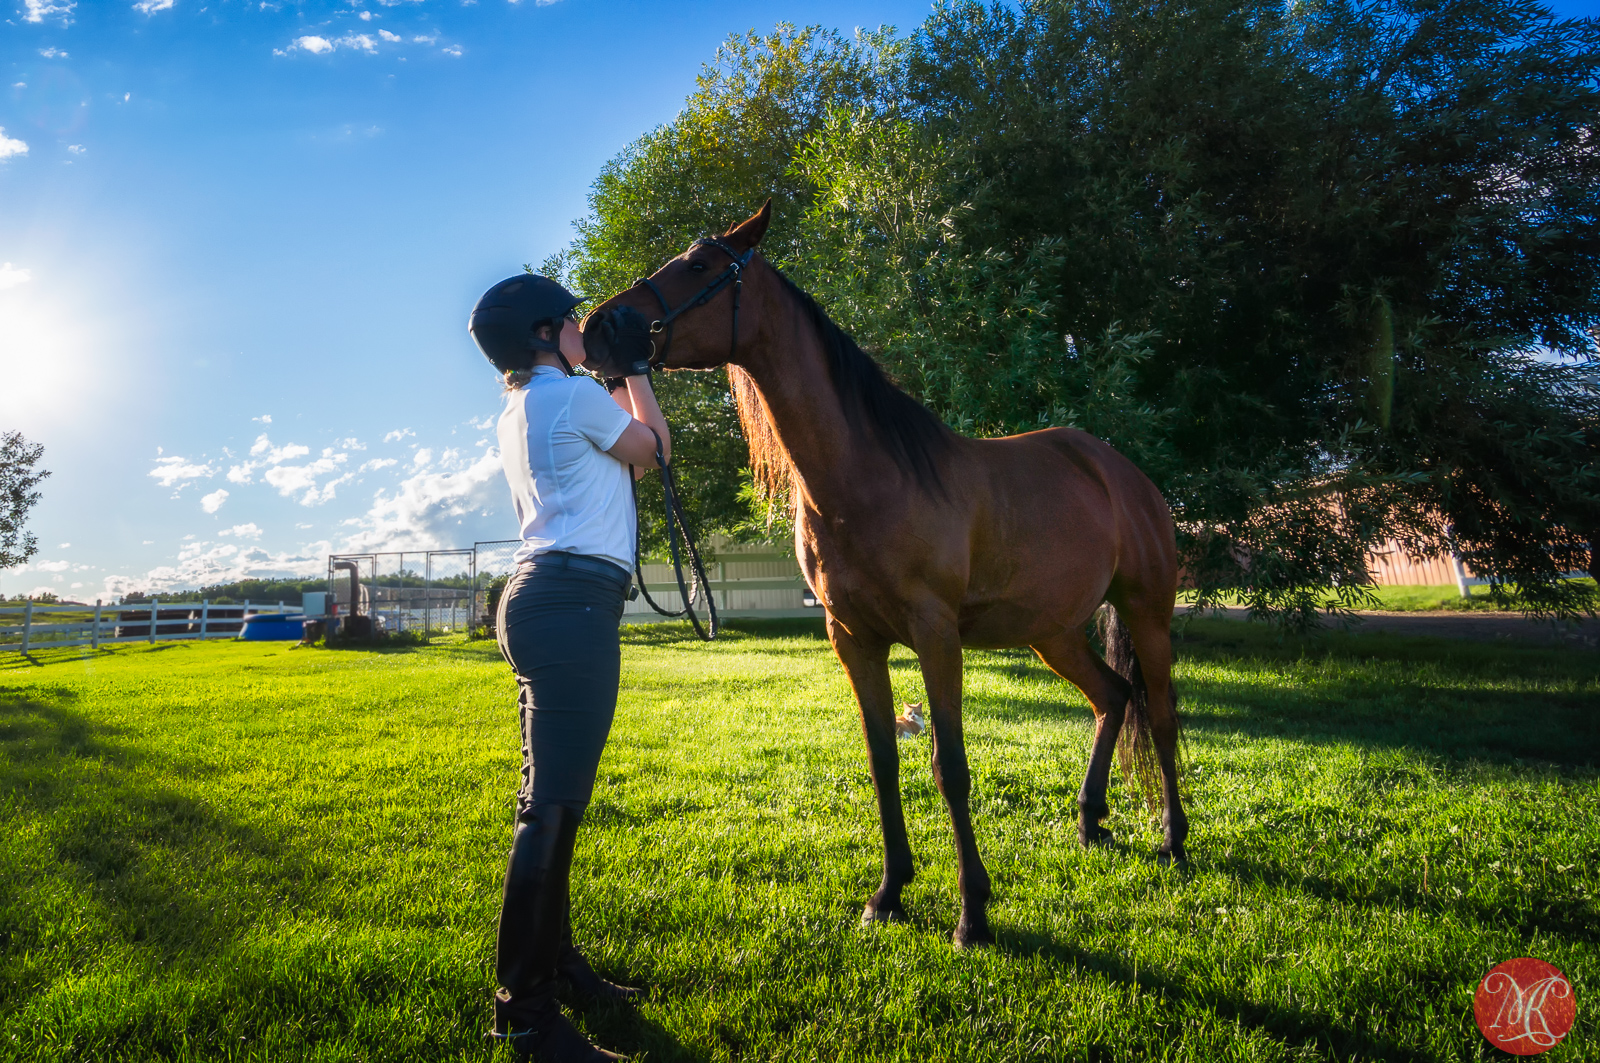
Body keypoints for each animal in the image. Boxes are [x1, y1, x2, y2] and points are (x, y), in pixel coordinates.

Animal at [585, 201, 1186, 948]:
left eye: (697, 266)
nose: (596, 328)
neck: (866, 478)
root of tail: (1123, 472)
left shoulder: (935, 635)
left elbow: (949, 768)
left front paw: (972, 913)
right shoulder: (853, 638)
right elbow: (883, 763)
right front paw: (889, 893)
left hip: (1146, 613)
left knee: (1161, 714)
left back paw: (1174, 841)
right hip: (1053, 633)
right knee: (1112, 698)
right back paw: (1090, 821)